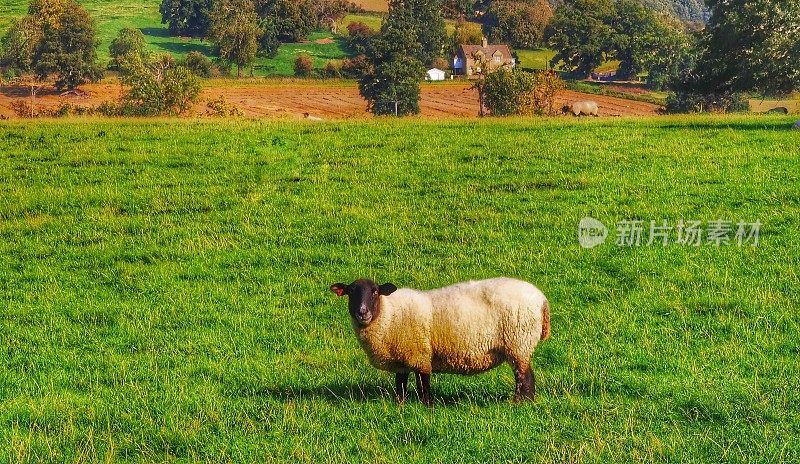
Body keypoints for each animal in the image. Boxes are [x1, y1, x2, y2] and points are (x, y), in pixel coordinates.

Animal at [330, 278, 552, 404]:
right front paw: (399, 405)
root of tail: (542, 299)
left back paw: (519, 404)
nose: (362, 312)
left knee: (525, 378)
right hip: (520, 345)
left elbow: (423, 384)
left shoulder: (420, 354)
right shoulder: (403, 359)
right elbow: (401, 384)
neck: (389, 313)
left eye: (375, 291)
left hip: (519, 343)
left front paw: (427, 407)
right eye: (350, 293)